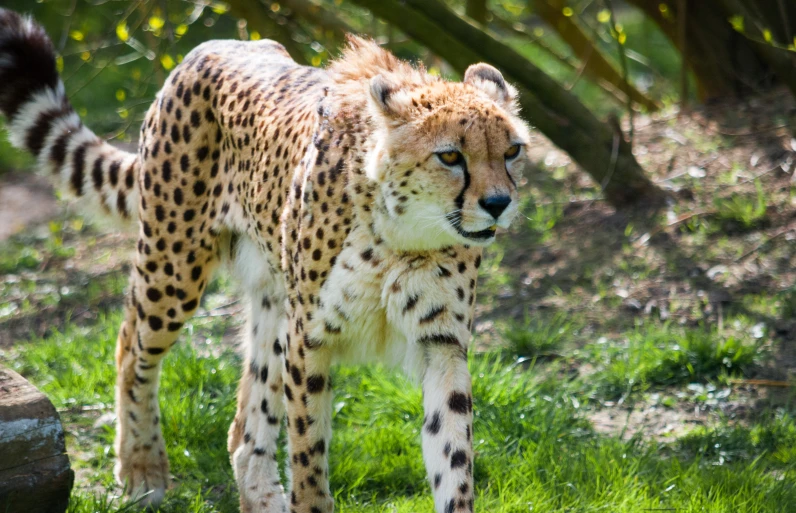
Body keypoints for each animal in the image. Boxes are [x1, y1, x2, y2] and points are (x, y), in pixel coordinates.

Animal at [3, 9, 532, 512]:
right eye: (450, 156)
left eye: (511, 151)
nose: (498, 203)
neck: (402, 235)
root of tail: (213, 45)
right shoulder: (310, 337)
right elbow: (308, 450)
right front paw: (308, 499)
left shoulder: (440, 344)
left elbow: (453, 457)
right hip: (175, 268)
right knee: (130, 347)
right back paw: (142, 469)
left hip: (272, 298)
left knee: (245, 423)